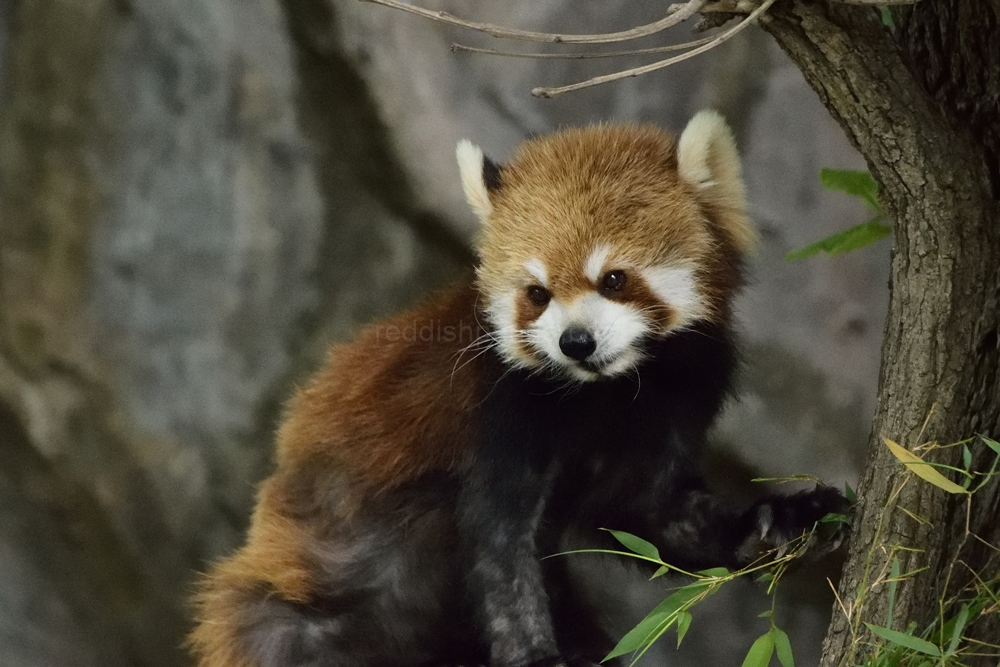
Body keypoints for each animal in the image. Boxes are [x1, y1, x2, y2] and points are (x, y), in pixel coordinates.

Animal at [188, 111, 844, 667]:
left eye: (613, 279)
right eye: (537, 294)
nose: (575, 342)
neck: (603, 391)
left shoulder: (682, 388)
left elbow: (648, 512)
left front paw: (778, 521)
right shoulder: (502, 405)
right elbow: (499, 542)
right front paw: (535, 655)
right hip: (303, 613)